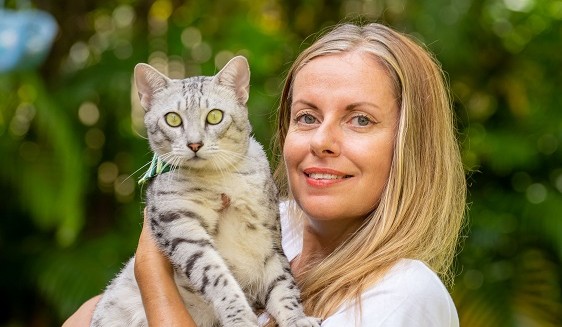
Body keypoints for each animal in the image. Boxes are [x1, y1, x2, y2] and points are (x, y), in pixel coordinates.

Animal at [91, 56, 320, 327]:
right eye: (173, 119)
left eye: (214, 116)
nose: (194, 144)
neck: (220, 179)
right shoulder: (181, 226)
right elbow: (218, 277)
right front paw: (240, 318)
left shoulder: (269, 235)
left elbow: (283, 284)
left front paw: (297, 318)